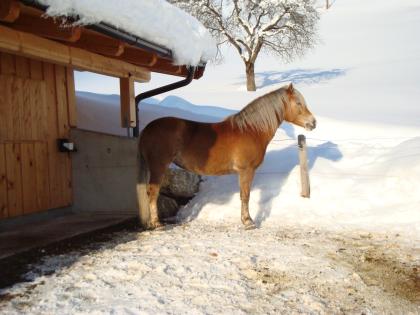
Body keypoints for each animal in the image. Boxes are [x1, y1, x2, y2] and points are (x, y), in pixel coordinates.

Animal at [137, 82, 316, 231]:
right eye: (298, 103)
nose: (313, 123)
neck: (251, 130)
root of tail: (147, 129)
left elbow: (244, 195)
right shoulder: (246, 170)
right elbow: (245, 195)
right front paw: (248, 222)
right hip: (158, 166)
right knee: (153, 192)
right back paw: (157, 224)